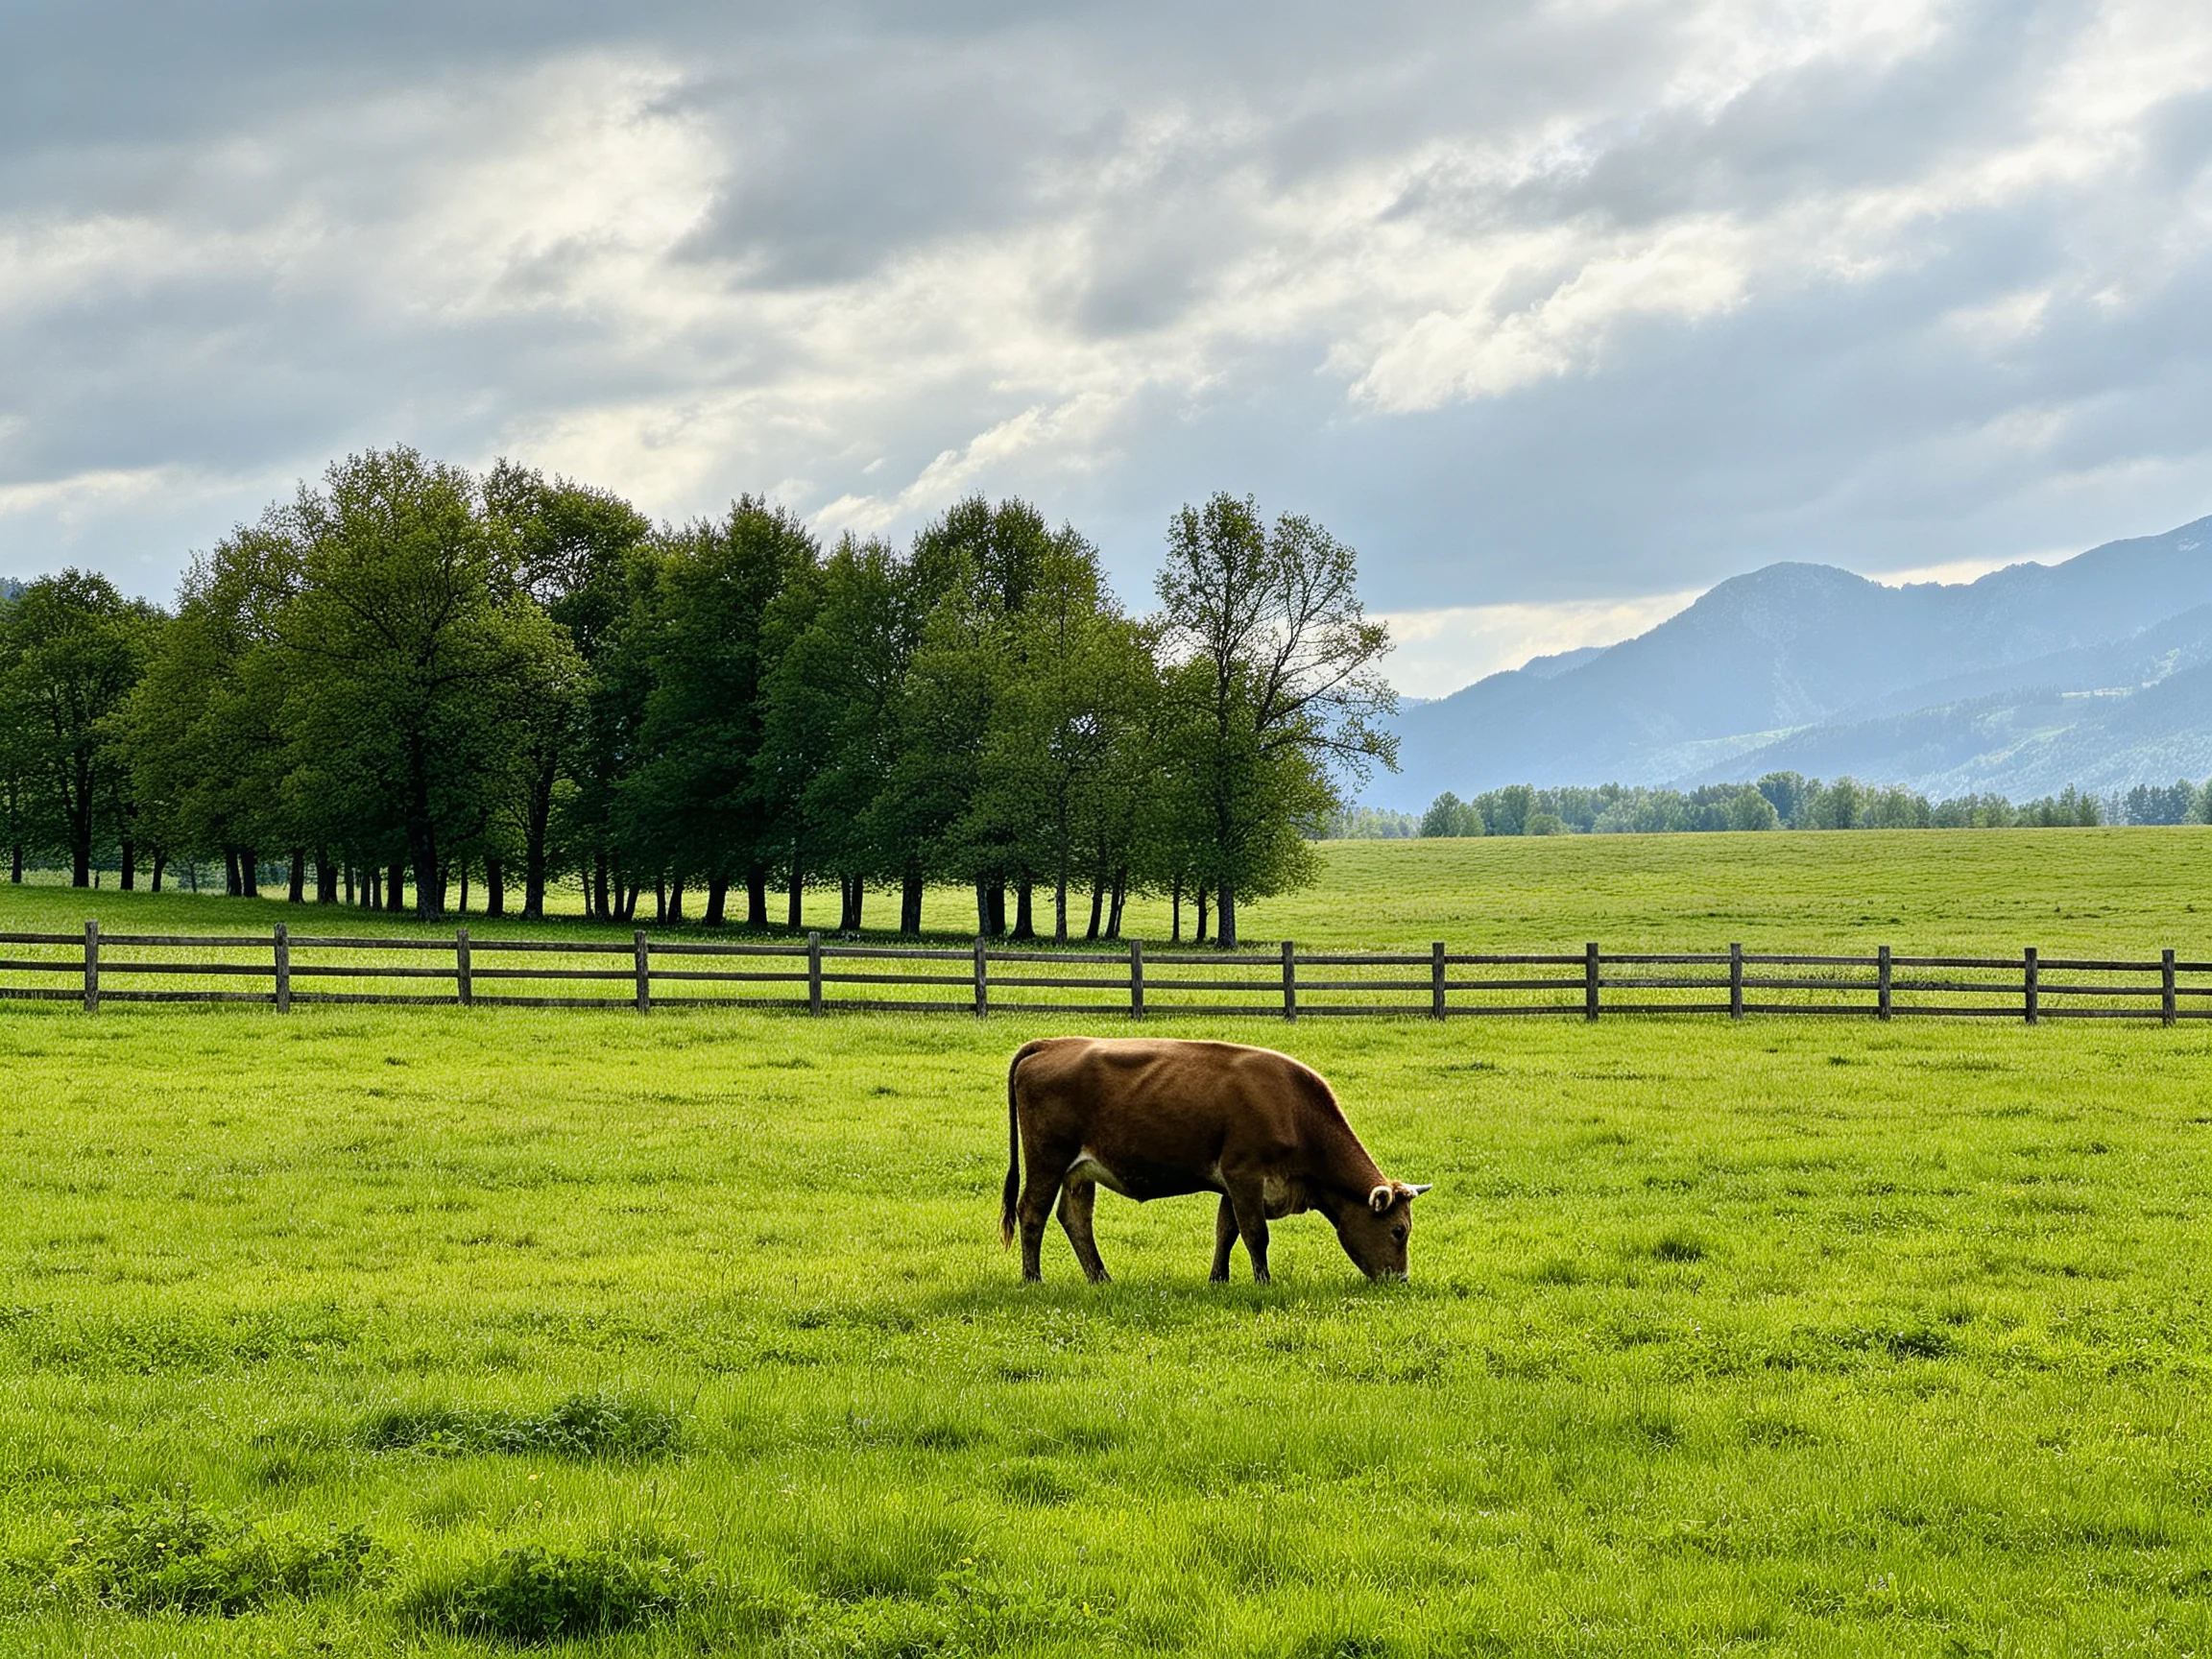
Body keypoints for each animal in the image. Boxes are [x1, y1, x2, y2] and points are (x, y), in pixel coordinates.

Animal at [1000, 1036, 1430, 1284]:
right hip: (1047, 1160)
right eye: (1398, 1231)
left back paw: (1101, 1278)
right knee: (1032, 1212)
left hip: (1079, 1172)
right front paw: (1263, 1282)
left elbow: (1227, 1231)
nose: (1401, 1280)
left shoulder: (1233, 1183)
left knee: (1075, 1219)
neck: (1292, 1108)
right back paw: (1033, 1278)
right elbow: (1255, 1234)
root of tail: (1052, 1043)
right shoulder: (1245, 1174)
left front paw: (1218, 1279)